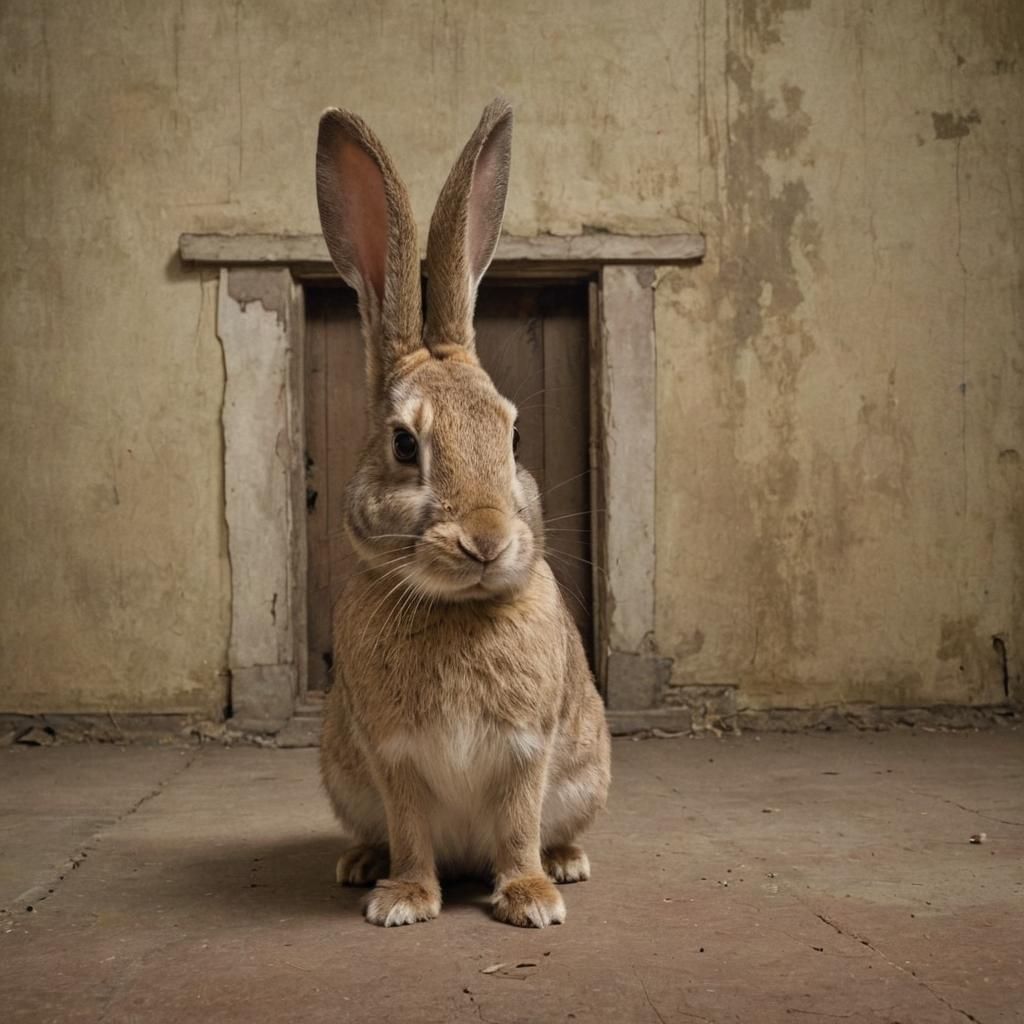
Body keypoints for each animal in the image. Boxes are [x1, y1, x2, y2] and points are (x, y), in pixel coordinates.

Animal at [315, 97, 611, 929]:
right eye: (403, 444)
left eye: (512, 434)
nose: (486, 540)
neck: (457, 607)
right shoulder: (393, 757)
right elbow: (412, 828)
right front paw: (405, 901)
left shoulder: (526, 750)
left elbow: (516, 824)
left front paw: (532, 900)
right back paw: (360, 865)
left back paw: (566, 863)